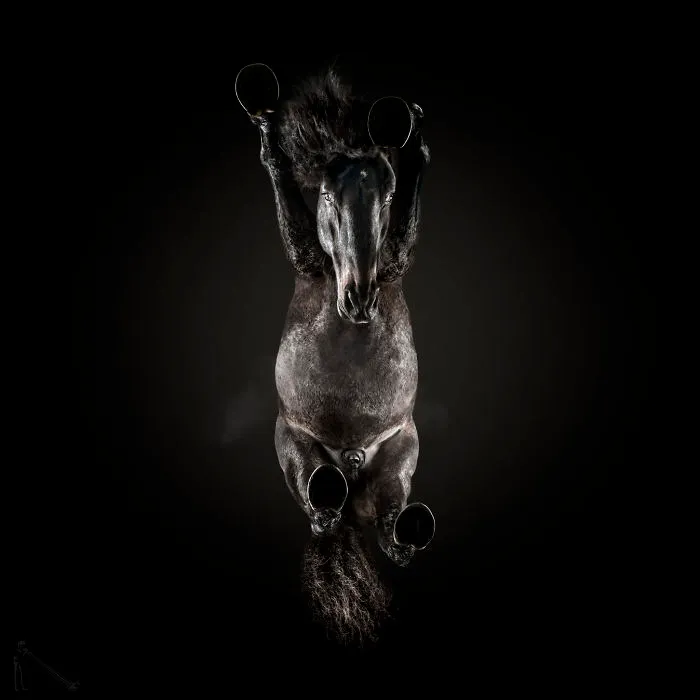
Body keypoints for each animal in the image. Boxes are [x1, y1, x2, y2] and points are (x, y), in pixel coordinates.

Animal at [236, 64, 436, 643]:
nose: (359, 297)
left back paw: (408, 527)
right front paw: (267, 132)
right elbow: (283, 194)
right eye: (326, 195)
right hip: (294, 448)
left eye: (387, 199)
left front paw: (417, 142)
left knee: (392, 532)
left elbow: (404, 235)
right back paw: (329, 494)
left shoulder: (395, 260)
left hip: (399, 457)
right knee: (322, 512)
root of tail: (349, 463)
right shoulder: (305, 258)